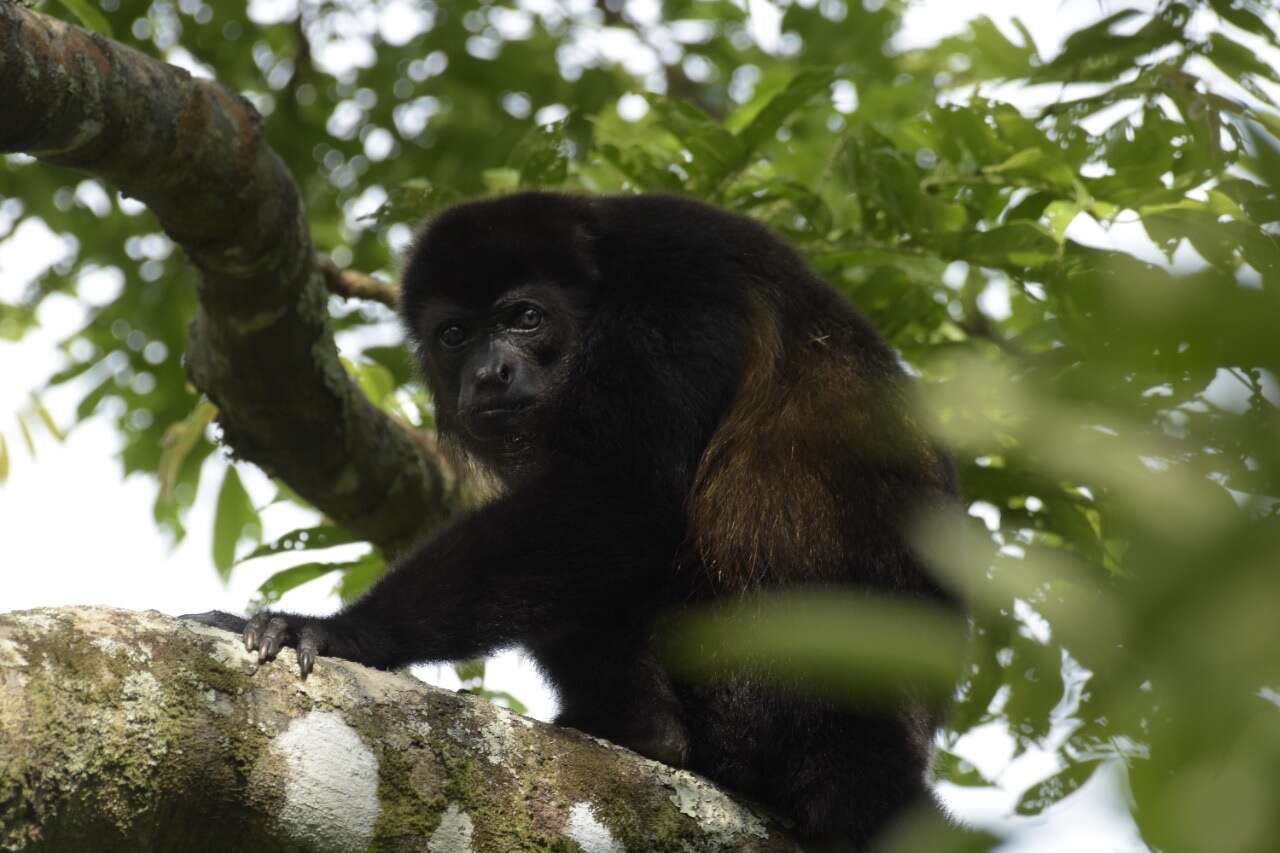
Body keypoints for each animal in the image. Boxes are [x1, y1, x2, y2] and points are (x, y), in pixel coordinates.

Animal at [183, 190, 962, 845]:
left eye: (525, 317)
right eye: (455, 334)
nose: (489, 374)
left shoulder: (677, 286)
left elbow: (616, 494)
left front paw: (340, 631)